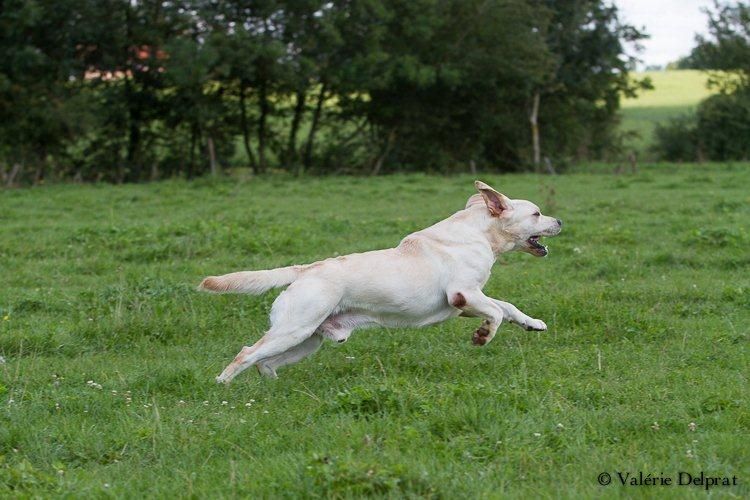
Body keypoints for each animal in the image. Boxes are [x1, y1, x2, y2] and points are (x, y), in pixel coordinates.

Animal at [200, 180, 562, 383]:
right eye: (536, 213)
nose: (559, 220)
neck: (481, 234)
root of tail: (305, 269)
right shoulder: (463, 294)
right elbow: (496, 313)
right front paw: (482, 336)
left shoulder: (467, 302)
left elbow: (507, 307)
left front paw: (533, 324)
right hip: (294, 330)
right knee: (247, 354)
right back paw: (220, 387)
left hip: (307, 340)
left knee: (264, 362)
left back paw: (271, 385)